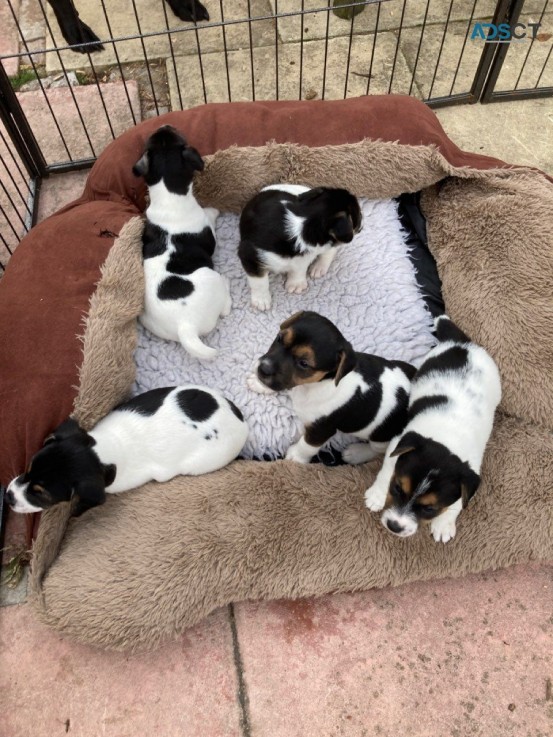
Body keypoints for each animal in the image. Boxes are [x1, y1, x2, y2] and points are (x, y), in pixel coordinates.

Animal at [133, 123, 230, 360]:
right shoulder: (207, 229)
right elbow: (210, 216)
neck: (169, 198)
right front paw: (214, 210)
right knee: (225, 307)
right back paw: (227, 284)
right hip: (210, 276)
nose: (165, 124)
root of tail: (185, 327)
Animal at [246, 312, 414, 462]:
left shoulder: (321, 429)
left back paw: (357, 453)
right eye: (279, 338)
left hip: (381, 438)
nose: (263, 369)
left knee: (378, 451)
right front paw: (259, 383)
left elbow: (307, 445)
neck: (316, 384)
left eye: (304, 363)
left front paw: (295, 457)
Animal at [364, 314, 502, 544]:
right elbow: (386, 469)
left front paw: (444, 525)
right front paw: (376, 495)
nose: (394, 526)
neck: (447, 438)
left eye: (429, 509)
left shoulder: (471, 470)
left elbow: (457, 503)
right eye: (397, 488)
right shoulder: (399, 441)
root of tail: (463, 344)